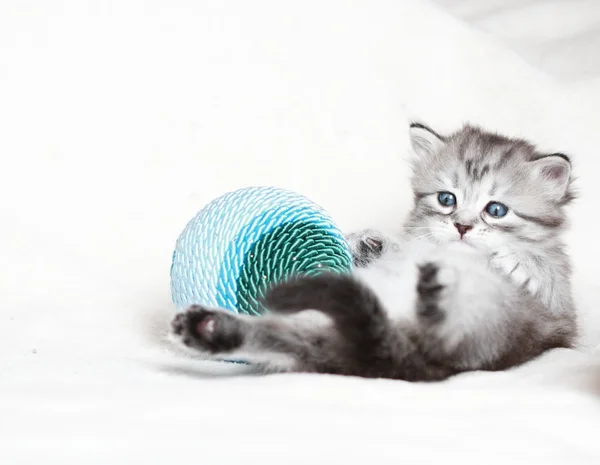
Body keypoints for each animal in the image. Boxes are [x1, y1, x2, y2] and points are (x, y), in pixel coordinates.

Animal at [169, 122, 576, 380]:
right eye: (447, 199)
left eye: (496, 210)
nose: (462, 227)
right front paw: (370, 241)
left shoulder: (561, 312)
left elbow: (547, 272)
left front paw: (522, 263)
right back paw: (208, 329)